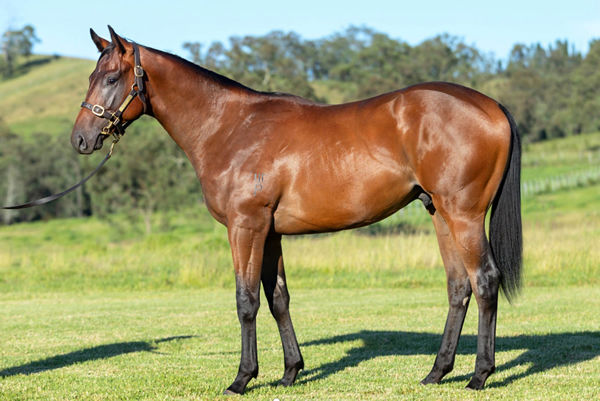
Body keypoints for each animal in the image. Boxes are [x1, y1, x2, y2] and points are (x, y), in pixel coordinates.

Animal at [71, 27, 520, 394]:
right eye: (92, 77)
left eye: (111, 78)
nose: (80, 139)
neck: (231, 127)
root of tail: (493, 106)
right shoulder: (270, 232)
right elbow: (278, 298)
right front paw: (290, 372)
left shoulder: (245, 226)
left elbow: (247, 300)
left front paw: (242, 378)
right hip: (438, 213)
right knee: (459, 287)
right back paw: (436, 372)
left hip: (463, 215)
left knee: (485, 281)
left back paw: (480, 375)